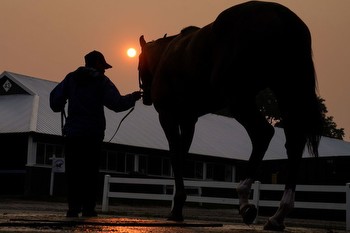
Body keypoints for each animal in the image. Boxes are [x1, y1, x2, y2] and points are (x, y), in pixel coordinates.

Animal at [137, 1, 322, 231]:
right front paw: (178, 206)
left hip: (239, 99)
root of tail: (280, 15)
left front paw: (176, 209)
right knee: (294, 144)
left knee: (262, 134)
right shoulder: (188, 119)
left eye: (139, 63)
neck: (167, 56)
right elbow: (182, 155)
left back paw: (245, 202)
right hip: (287, 93)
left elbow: (175, 157)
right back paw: (278, 216)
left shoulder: (168, 116)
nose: (145, 96)